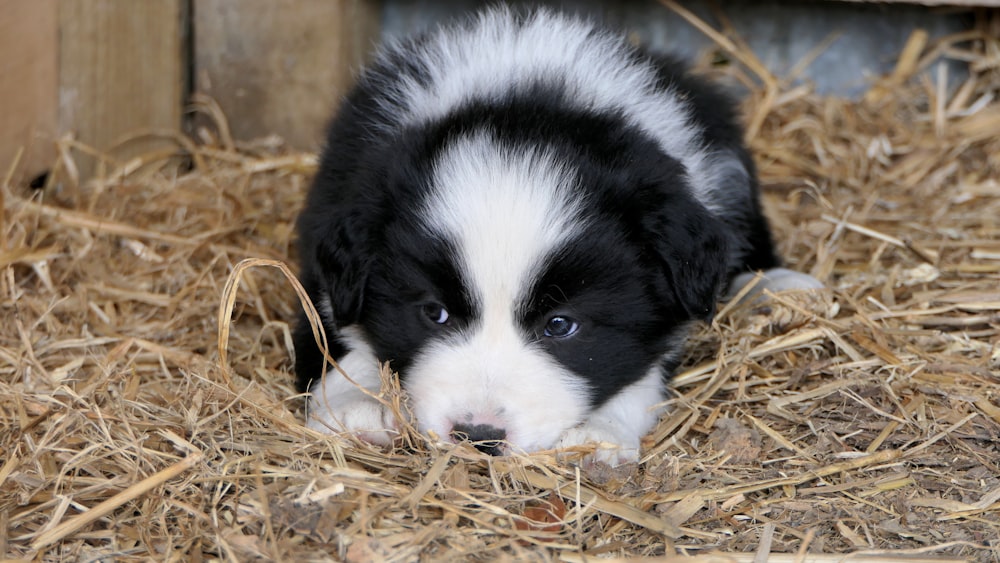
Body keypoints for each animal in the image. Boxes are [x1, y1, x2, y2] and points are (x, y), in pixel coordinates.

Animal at [292, 8, 820, 464]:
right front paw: (357, 404)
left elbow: (643, 368)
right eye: (434, 313)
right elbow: (337, 334)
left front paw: (598, 433)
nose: (478, 436)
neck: (528, 93)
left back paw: (780, 289)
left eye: (561, 325)